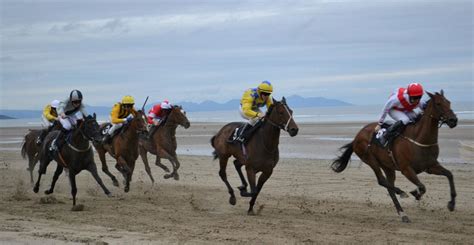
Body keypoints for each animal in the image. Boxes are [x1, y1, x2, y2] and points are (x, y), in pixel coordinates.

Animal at [332, 91, 458, 223]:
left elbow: (449, 175)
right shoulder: (406, 169)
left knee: (389, 187)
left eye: (449, 102)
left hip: (387, 166)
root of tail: (357, 137)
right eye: (438, 103)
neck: (419, 138)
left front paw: (451, 204)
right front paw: (416, 193)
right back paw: (401, 194)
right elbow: (422, 187)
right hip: (371, 160)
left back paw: (403, 213)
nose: (453, 120)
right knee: (382, 181)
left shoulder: (430, 166)